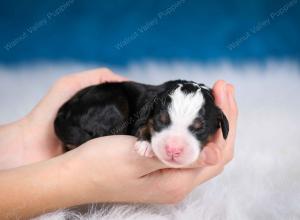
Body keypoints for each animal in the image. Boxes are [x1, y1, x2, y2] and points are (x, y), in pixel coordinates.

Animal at [54, 80, 227, 168]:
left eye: (200, 128)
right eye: (161, 120)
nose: (173, 150)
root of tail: (64, 112)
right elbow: (143, 126)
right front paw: (146, 144)